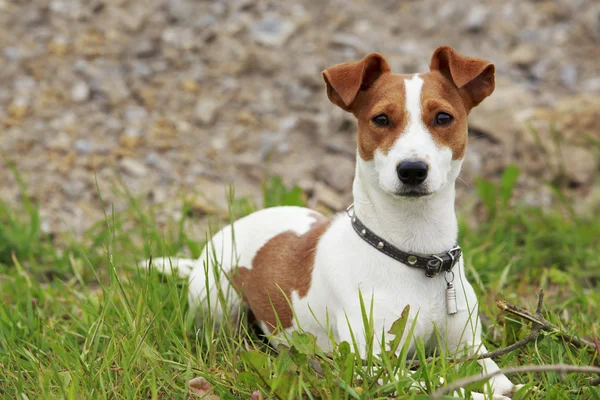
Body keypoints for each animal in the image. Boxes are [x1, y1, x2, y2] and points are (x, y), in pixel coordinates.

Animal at [149, 46, 524, 396]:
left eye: (444, 117)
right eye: (381, 119)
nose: (412, 170)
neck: (414, 255)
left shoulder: (471, 349)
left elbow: (503, 383)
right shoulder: (372, 368)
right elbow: (439, 384)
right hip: (215, 306)